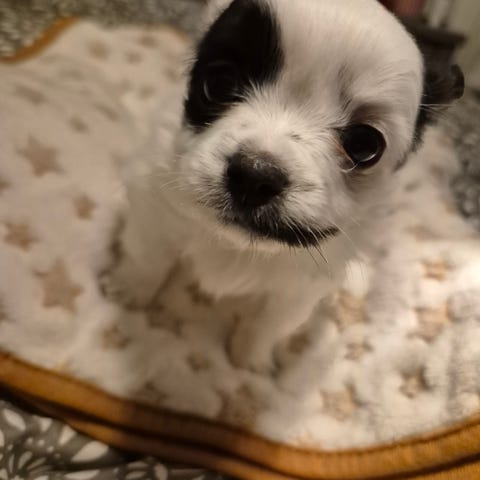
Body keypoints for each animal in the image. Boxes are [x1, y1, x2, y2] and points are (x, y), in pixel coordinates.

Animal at [105, 0, 464, 372]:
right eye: (218, 84)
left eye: (364, 145)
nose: (255, 176)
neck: (238, 245)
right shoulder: (155, 203)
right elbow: (149, 257)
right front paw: (130, 294)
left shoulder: (302, 286)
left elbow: (271, 321)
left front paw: (250, 358)